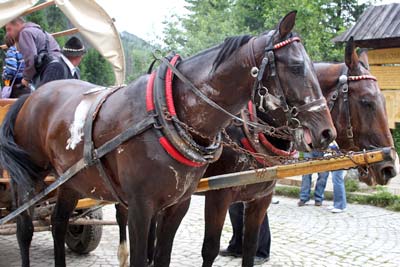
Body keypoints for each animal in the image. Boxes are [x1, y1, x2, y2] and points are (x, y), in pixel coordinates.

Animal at [0, 11, 336, 267]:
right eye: (296, 67)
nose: (326, 132)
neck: (168, 115)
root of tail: (30, 98)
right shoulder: (145, 205)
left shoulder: (181, 204)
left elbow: (164, 257)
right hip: (28, 180)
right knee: (25, 229)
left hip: (71, 180)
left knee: (58, 224)